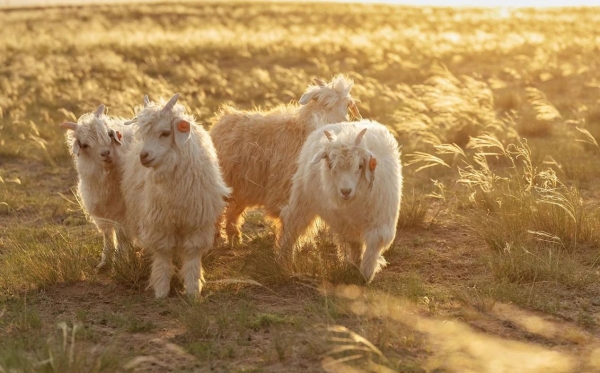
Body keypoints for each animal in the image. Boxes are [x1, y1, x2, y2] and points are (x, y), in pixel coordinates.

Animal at [61, 103, 133, 268]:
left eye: (109, 134)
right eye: (85, 145)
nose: (106, 153)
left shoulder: (123, 212)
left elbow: (121, 236)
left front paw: (120, 261)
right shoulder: (101, 211)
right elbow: (108, 235)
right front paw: (105, 262)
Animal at [123, 94, 231, 298]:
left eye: (165, 133)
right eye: (144, 135)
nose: (144, 156)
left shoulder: (196, 222)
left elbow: (192, 253)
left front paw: (193, 289)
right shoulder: (159, 222)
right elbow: (163, 254)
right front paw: (161, 290)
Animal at [211, 75, 360, 244]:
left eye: (347, 105)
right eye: (326, 104)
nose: (344, 122)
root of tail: (222, 118)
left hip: (241, 186)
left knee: (233, 210)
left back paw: (234, 237)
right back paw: (216, 238)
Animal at [280, 120, 404, 282]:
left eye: (360, 165)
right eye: (330, 165)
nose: (345, 191)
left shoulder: (380, 221)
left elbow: (372, 243)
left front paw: (365, 273)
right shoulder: (345, 222)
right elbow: (353, 243)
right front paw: (356, 267)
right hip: (302, 199)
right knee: (292, 225)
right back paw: (284, 260)